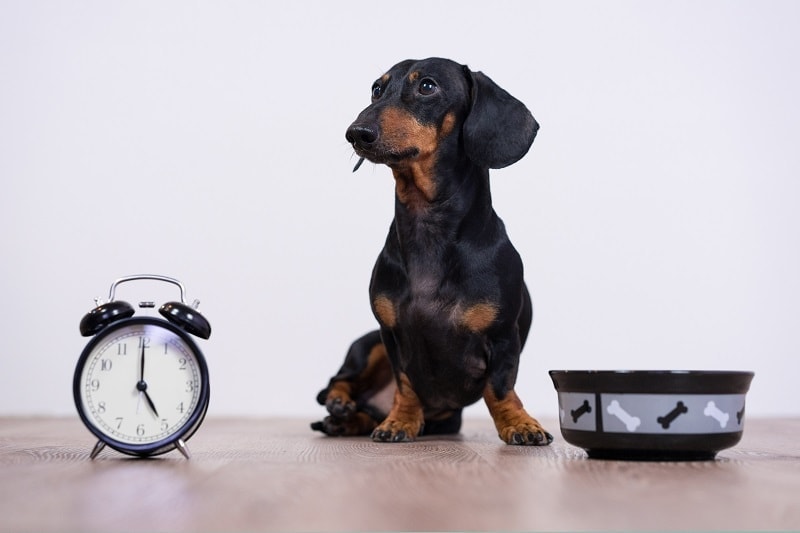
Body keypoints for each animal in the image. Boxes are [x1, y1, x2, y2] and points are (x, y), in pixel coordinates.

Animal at [310, 57, 552, 444]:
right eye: (377, 89)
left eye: (427, 86)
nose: (356, 133)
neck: (428, 225)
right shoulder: (391, 336)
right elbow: (406, 385)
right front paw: (400, 421)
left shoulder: (502, 337)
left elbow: (500, 387)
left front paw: (519, 423)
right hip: (367, 345)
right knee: (338, 381)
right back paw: (342, 407)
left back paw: (350, 419)